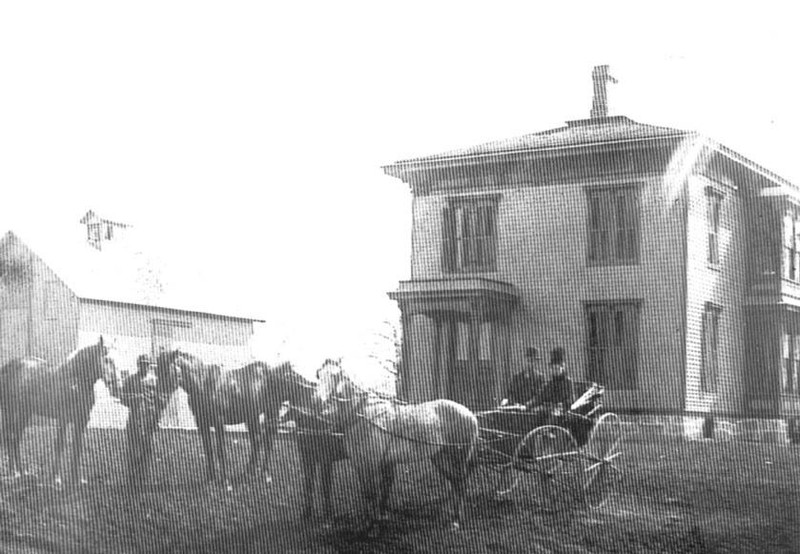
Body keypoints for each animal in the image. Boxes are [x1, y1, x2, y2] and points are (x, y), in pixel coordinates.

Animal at [0, 334, 122, 486]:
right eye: (107, 359)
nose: (117, 385)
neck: (75, 382)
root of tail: (8, 367)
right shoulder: (63, 420)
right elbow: (60, 445)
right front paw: (56, 479)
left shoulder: (81, 421)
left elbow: (77, 447)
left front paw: (77, 480)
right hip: (11, 413)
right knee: (9, 437)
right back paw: (13, 473)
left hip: (25, 415)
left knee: (16, 439)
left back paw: (23, 473)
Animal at [316, 360, 478, 528]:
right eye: (319, 375)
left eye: (335, 375)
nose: (320, 401)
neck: (363, 416)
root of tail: (470, 414)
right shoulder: (361, 464)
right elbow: (368, 493)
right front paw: (369, 522)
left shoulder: (371, 464)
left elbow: (373, 493)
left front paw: (373, 526)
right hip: (440, 457)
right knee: (454, 482)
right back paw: (451, 516)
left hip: (458, 457)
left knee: (461, 484)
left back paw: (456, 521)